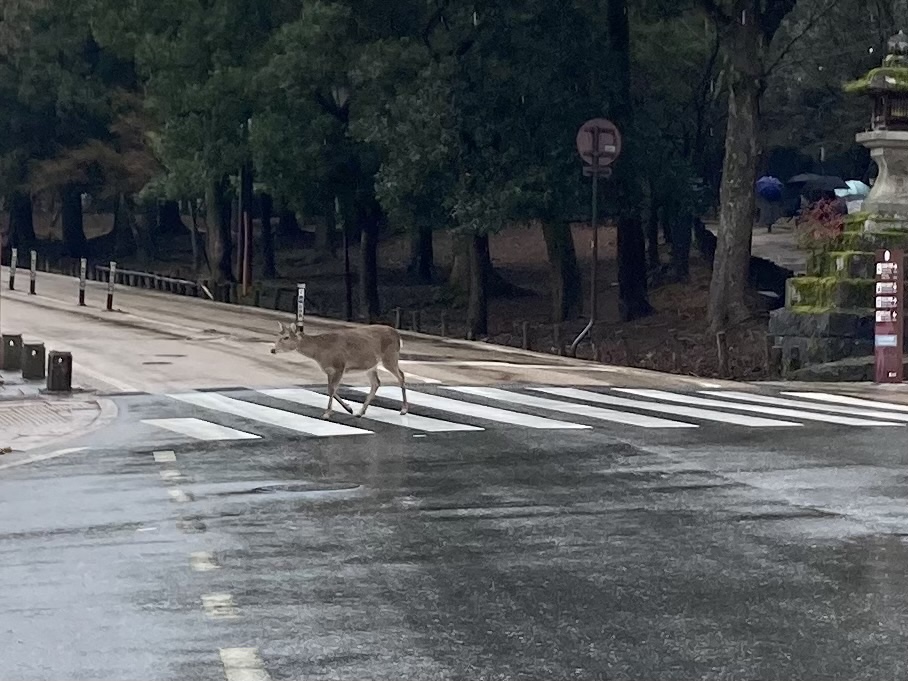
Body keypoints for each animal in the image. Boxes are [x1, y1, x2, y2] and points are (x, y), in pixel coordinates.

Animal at [270, 321, 408, 420]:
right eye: (277, 336)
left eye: (286, 337)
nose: (273, 350)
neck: (320, 351)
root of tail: (398, 336)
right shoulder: (329, 370)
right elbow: (331, 389)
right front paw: (349, 408)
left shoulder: (339, 366)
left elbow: (331, 389)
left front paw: (327, 413)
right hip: (371, 365)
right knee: (376, 383)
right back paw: (360, 412)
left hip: (390, 357)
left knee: (401, 376)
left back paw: (404, 410)